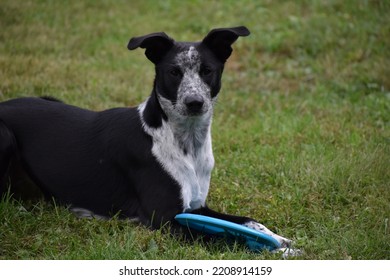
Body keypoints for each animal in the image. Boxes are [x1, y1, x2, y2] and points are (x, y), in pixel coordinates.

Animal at [0, 26, 298, 256]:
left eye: (207, 70)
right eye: (174, 72)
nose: (194, 102)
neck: (186, 143)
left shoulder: (196, 208)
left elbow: (248, 221)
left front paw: (281, 240)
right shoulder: (165, 219)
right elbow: (225, 237)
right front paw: (276, 250)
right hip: (6, 136)